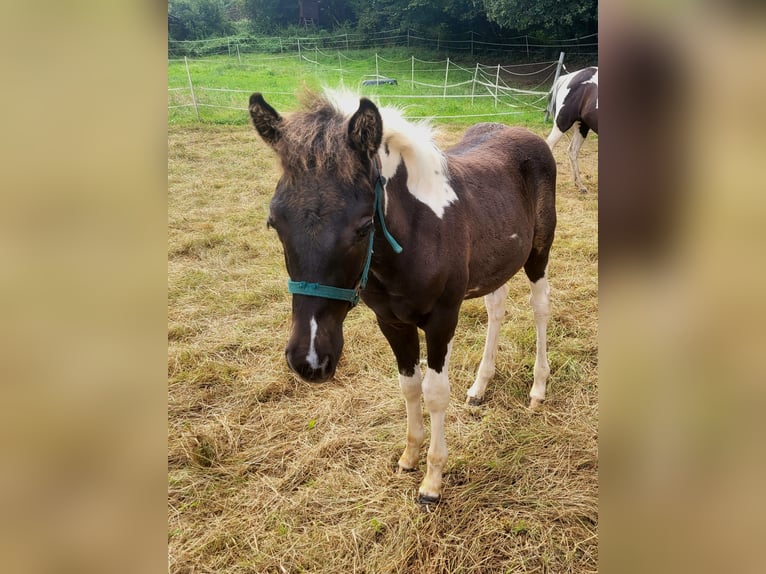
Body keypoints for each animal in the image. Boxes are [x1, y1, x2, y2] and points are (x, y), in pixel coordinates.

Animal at [252, 89, 560, 504]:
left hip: (538, 253)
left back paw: (538, 389)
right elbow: (409, 386)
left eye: (364, 226)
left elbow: (434, 392)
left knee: (540, 307)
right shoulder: (392, 322)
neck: (417, 231)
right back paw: (479, 387)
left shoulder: (443, 319)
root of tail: (526, 134)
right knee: (496, 308)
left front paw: (432, 481)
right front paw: (409, 457)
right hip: (496, 261)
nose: (310, 360)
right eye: (274, 223)